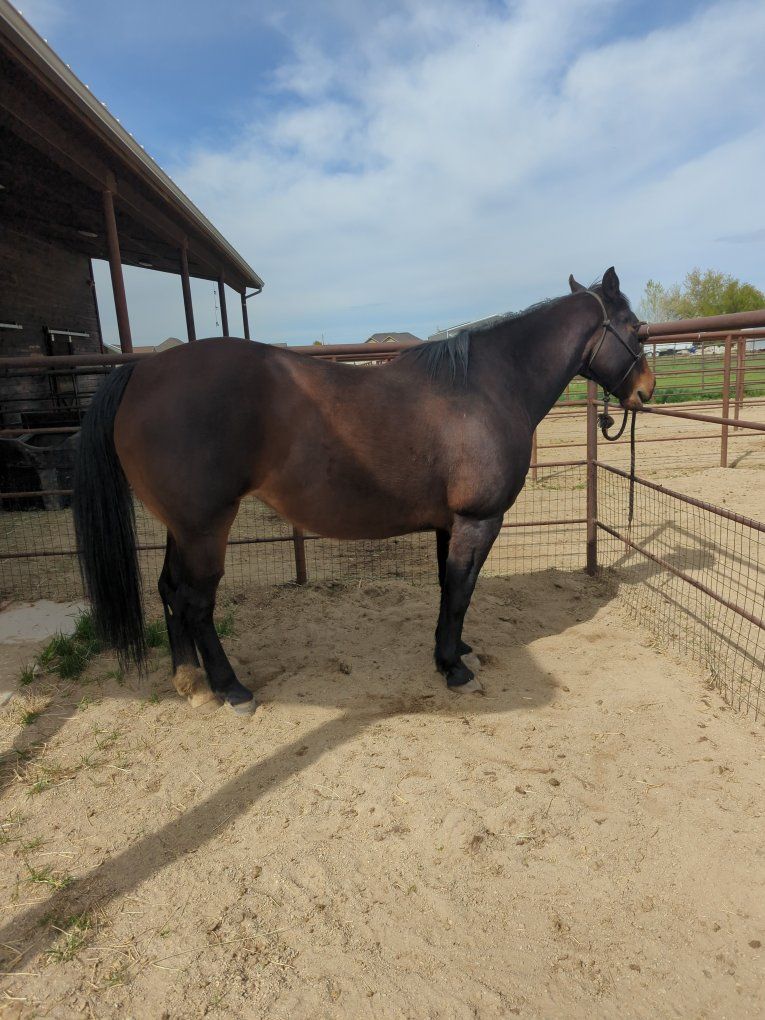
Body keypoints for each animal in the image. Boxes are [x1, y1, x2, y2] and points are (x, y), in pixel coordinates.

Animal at [73, 267, 655, 712]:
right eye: (636, 327)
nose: (646, 391)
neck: (486, 386)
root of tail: (143, 371)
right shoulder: (478, 521)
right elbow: (462, 591)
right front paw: (454, 669)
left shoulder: (448, 524)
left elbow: (448, 591)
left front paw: (454, 651)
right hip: (206, 527)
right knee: (195, 603)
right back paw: (232, 689)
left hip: (183, 525)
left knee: (170, 592)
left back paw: (191, 683)